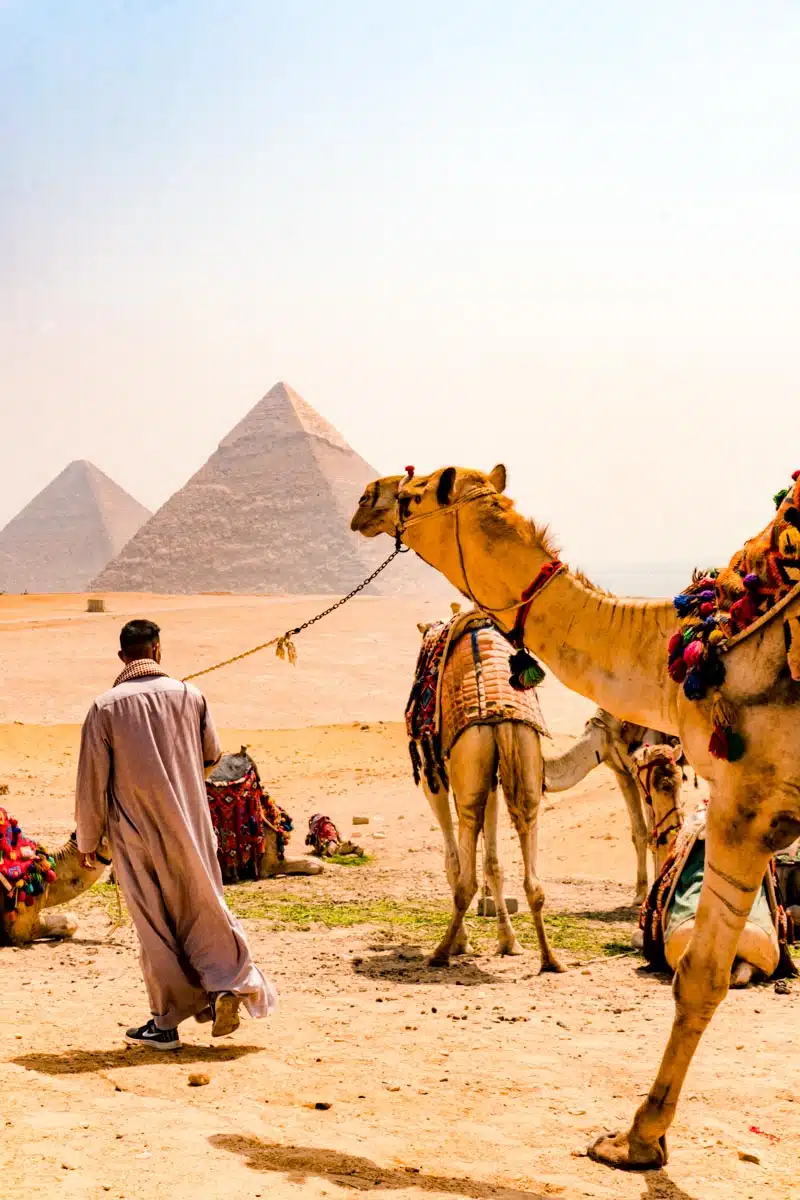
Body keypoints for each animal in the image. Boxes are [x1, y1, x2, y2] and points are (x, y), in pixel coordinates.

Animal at [352, 458, 800, 1171]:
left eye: (415, 492)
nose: (366, 499)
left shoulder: (741, 805)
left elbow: (697, 973)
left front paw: (636, 1139)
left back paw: (457, 948)